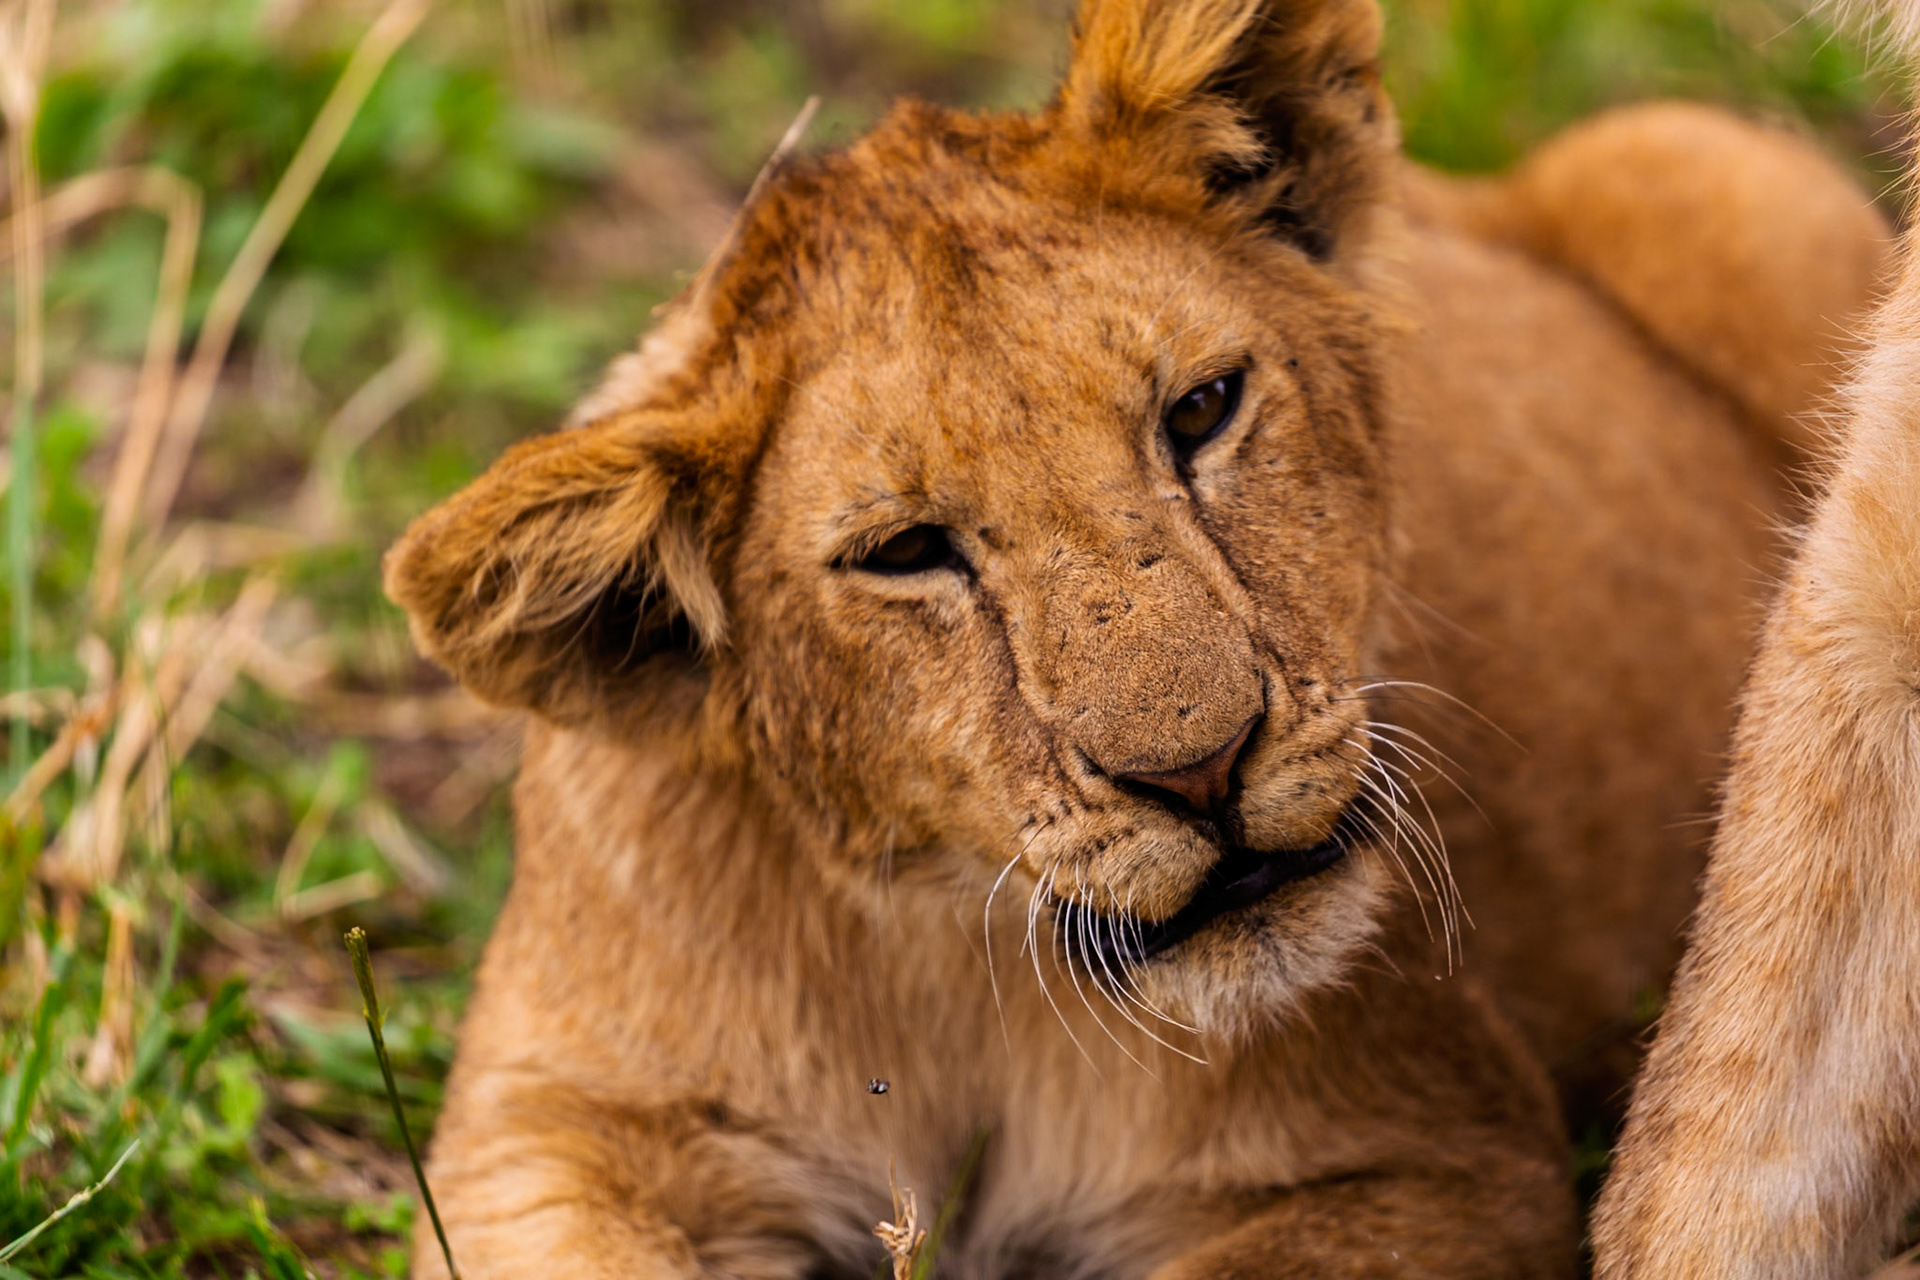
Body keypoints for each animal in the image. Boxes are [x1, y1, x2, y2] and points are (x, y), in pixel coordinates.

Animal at [383, 0, 1889, 1274]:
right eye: (906, 553)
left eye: (1204, 408)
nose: (1200, 770)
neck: (955, 953)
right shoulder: (550, 1125)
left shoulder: (1437, 1161)